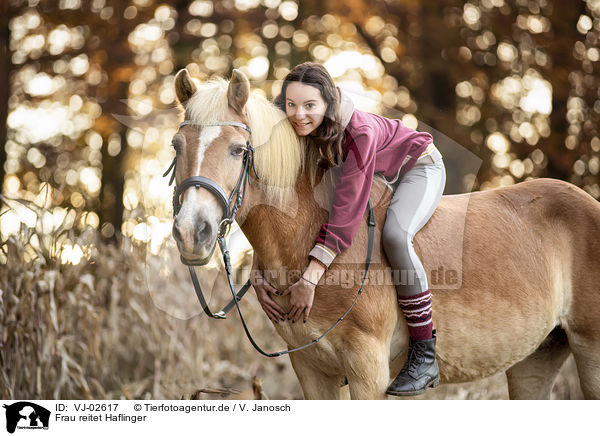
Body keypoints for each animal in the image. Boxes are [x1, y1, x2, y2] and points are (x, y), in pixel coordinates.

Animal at [169, 67, 600, 398]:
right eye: (176, 145)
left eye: (238, 150)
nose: (192, 232)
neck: (308, 240)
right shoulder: (311, 369)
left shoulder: (367, 369)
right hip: (535, 357)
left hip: (590, 352)